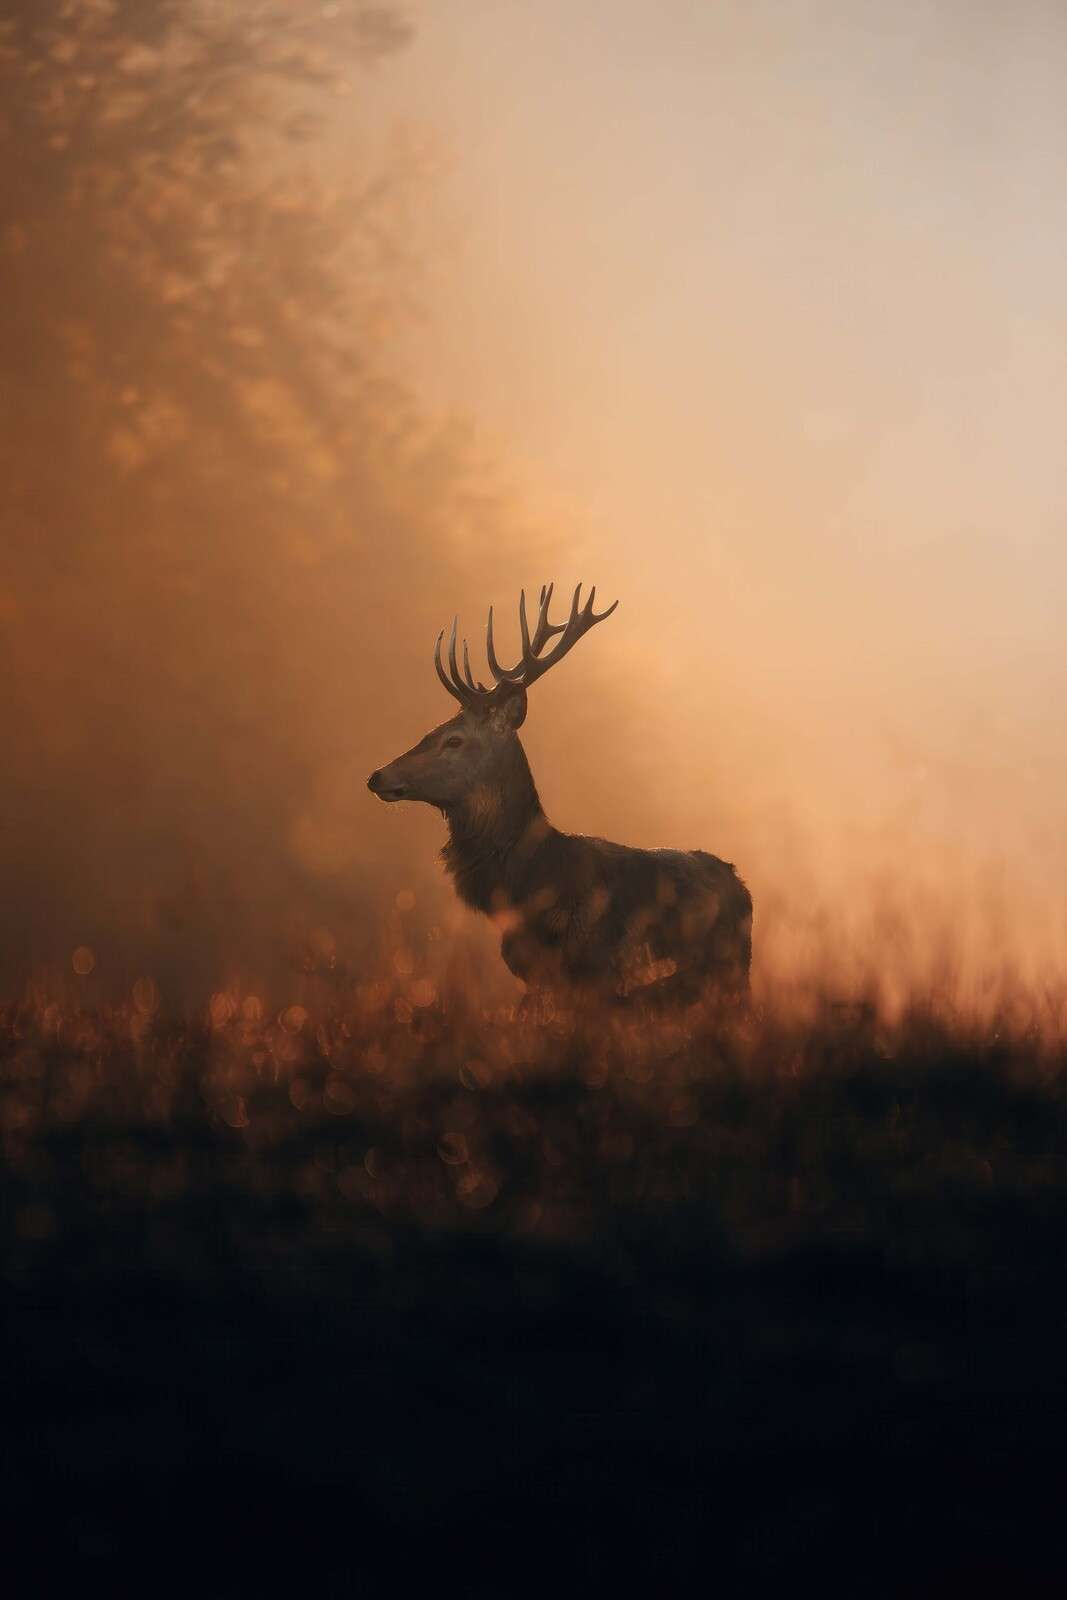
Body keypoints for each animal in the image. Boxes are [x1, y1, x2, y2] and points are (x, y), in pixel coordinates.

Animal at [367, 585, 752, 1012]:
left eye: (454, 740)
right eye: (432, 729)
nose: (378, 775)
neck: (534, 883)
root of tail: (741, 887)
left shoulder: (597, 969)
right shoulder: (535, 976)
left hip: (729, 969)